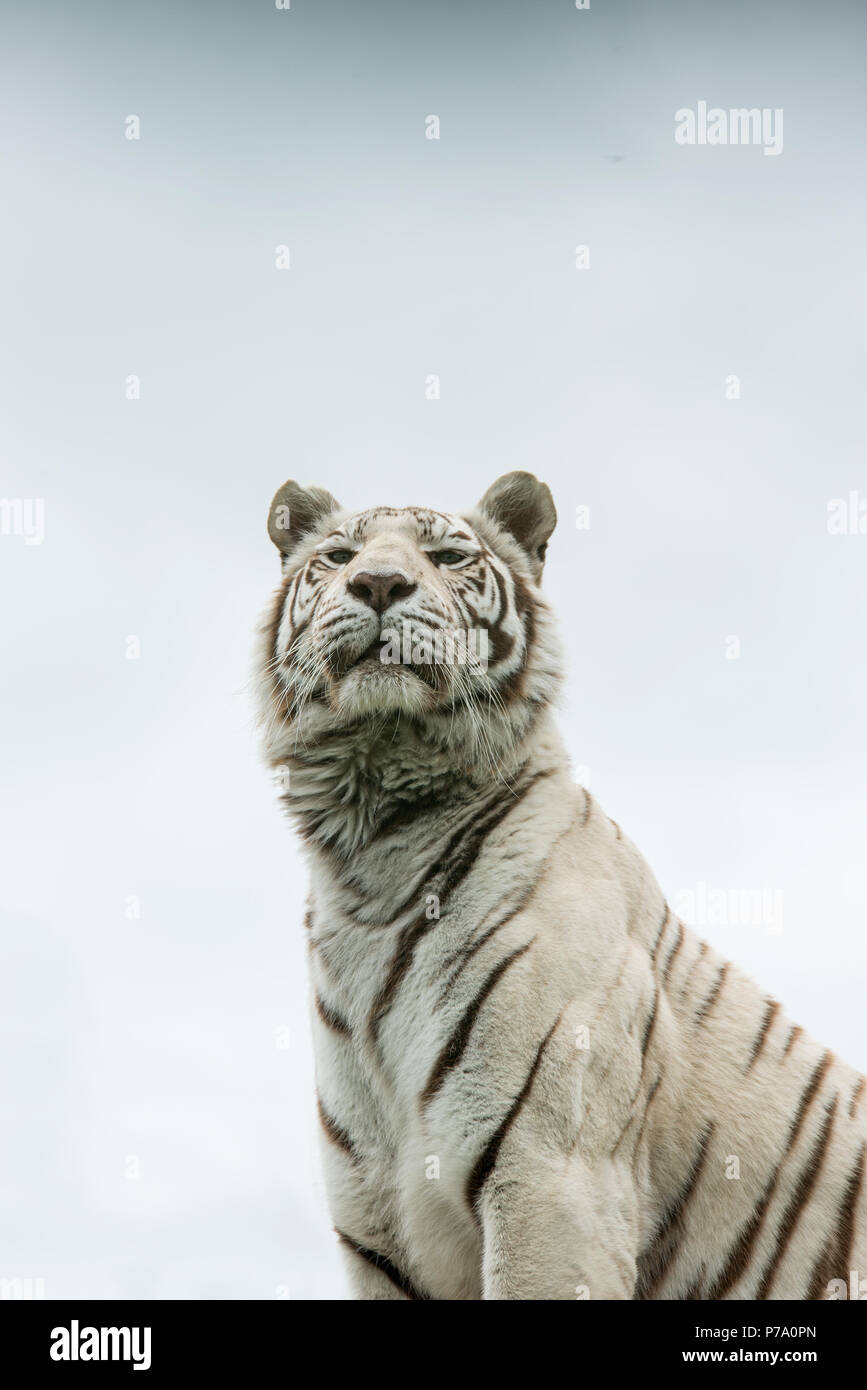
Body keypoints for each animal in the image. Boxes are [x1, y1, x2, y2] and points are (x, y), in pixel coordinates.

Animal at [255, 472, 867, 1295]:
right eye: (339, 555)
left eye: (447, 557)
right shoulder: (379, 1228)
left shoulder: (554, 1180)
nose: (377, 583)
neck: (373, 852)